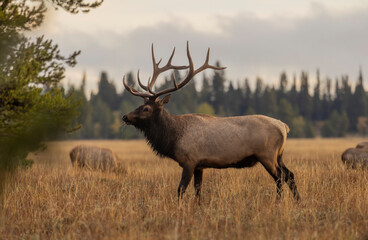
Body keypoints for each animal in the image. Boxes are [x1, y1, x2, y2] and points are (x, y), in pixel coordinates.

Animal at [122, 41, 300, 201]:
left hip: (267, 154)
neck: (173, 138)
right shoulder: (200, 165)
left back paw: (278, 202)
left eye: (146, 108)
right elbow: (198, 191)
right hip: (279, 155)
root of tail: (284, 127)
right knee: (289, 175)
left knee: (279, 177)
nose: (125, 117)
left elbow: (181, 190)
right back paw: (298, 201)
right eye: (140, 105)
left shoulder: (190, 160)